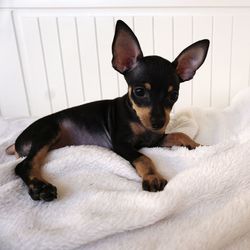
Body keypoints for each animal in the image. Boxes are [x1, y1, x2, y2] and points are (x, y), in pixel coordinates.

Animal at [5, 20, 209, 202]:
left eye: (173, 95)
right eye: (139, 92)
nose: (158, 123)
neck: (136, 118)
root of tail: (17, 142)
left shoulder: (154, 140)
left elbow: (180, 134)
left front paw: (199, 145)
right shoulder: (122, 144)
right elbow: (144, 159)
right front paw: (152, 177)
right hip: (48, 130)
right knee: (24, 165)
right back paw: (40, 187)